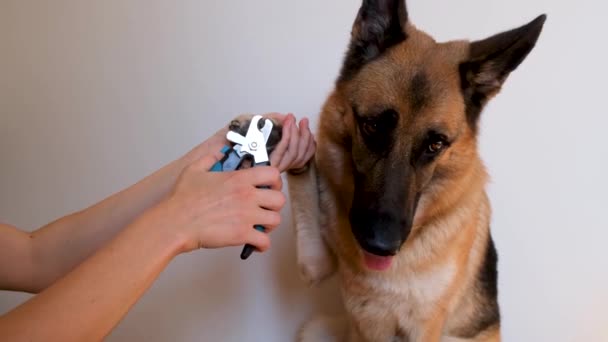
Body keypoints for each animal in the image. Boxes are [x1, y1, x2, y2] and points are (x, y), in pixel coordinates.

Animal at [230, 0, 548, 340]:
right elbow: (307, 183)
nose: (381, 245)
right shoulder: (315, 265)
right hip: (316, 327)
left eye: (435, 144)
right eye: (372, 126)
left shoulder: (425, 328)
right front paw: (280, 137)